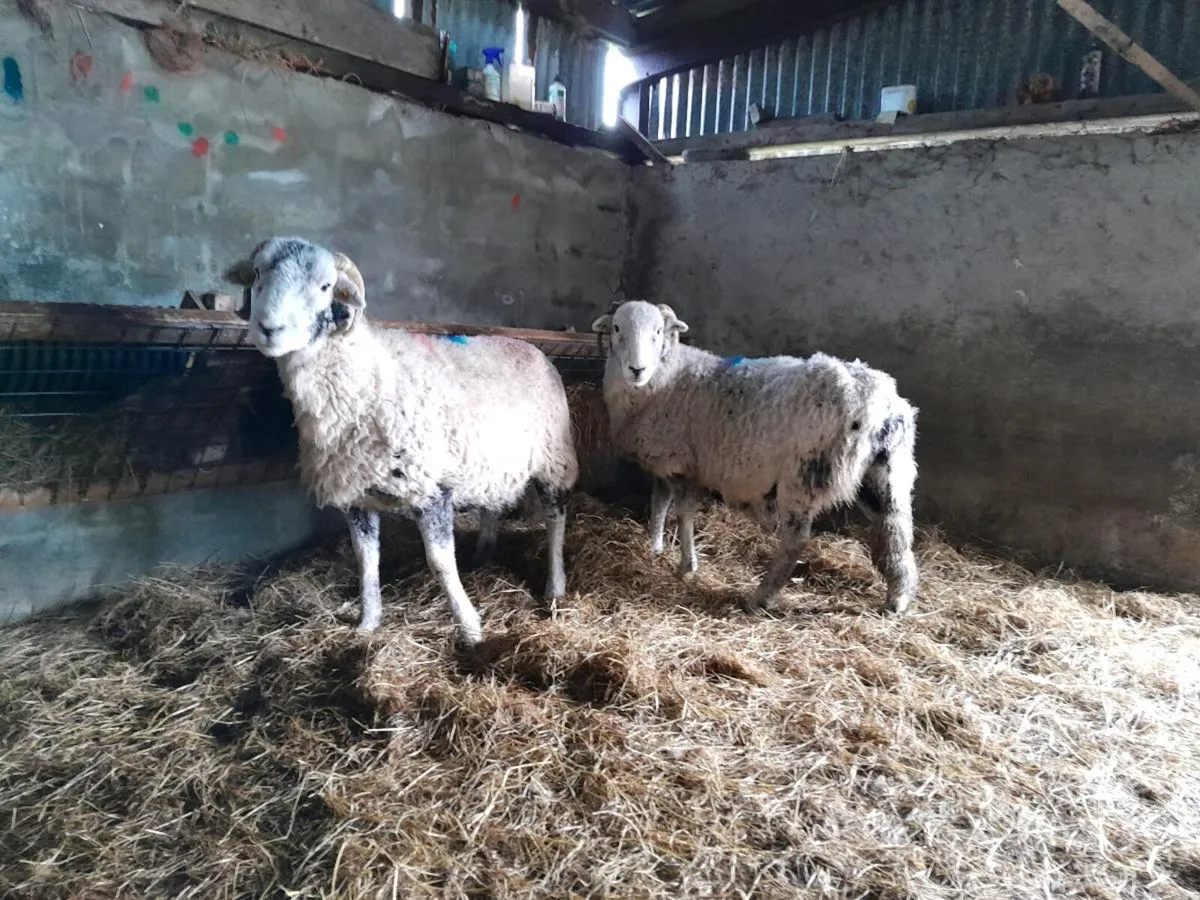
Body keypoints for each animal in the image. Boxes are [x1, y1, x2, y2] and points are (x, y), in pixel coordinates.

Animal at [224, 237, 578, 645]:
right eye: (257, 273)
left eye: (326, 286)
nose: (269, 328)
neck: (366, 378)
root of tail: (529, 347)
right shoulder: (356, 496)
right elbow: (366, 562)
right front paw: (367, 623)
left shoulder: (431, 487)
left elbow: (440, 564)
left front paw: (471, 629)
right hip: (490, 462)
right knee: (492, 508)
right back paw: (482, 556)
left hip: (554, 458)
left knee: (556, 519)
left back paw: (555, 587)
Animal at [591, 300, 919, 616]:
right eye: (617, 328)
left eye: (658, 331)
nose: (637, 369)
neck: (668, 377)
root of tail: (877, 399)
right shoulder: (666, 463)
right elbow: (659, 502)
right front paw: (656, 546)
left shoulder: (680, 462)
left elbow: (683, 513)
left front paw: (686, 566)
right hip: (887, 471)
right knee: (894, 527)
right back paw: (897, 598)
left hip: (804, 474)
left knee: (796, 541)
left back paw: (761, 598)